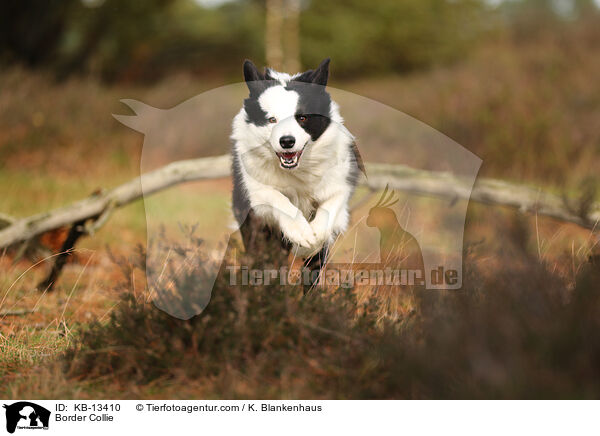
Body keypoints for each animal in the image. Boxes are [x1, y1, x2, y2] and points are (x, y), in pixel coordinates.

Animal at [231, 57, 366, 282]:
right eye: (271, 120)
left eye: (302, 118)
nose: (287, 141)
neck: (296, 170)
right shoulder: (255, 191)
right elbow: (277, 198)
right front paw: (300, 232)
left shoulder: (340, 184)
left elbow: (330, 209)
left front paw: (312, 241)